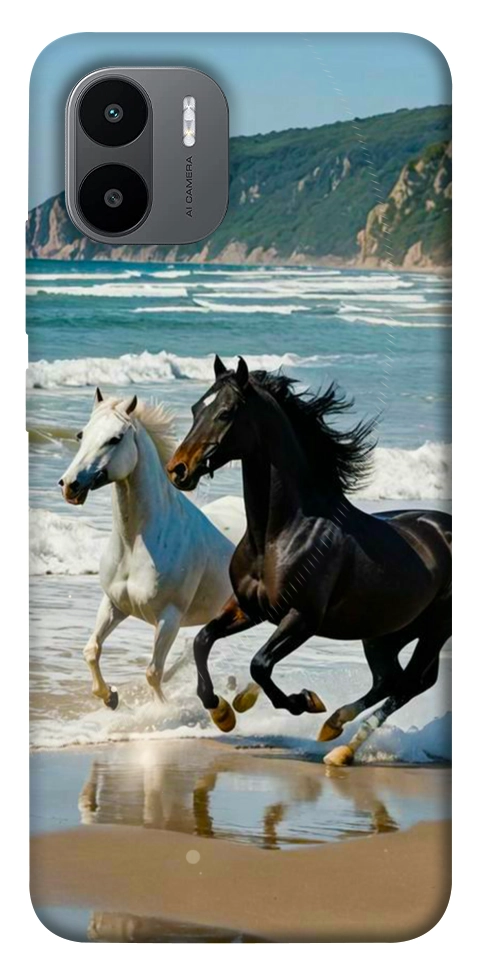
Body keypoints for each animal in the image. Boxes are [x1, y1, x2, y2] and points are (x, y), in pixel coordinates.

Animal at [59, 387, 234, 709]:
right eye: (81, 434)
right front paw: (110, 697)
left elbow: (153, 672)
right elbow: (91, 650)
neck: (135, 544)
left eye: (115, 438)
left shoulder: (169, 617)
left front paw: (161, 711)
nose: (69, 485)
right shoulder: (114, 604)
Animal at [166, 356, 451, 765]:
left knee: (409, 683)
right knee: (390, 679)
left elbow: (260, 663)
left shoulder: (302, 618)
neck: (279, 534)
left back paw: (341, 747)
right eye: (195, 409)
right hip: (385, 632)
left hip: (433, 630)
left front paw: (303, 701)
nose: (179, 469)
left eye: (226, 413)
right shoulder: (248, 608)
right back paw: (333, 728)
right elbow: (202, 641)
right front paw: (222, 712)